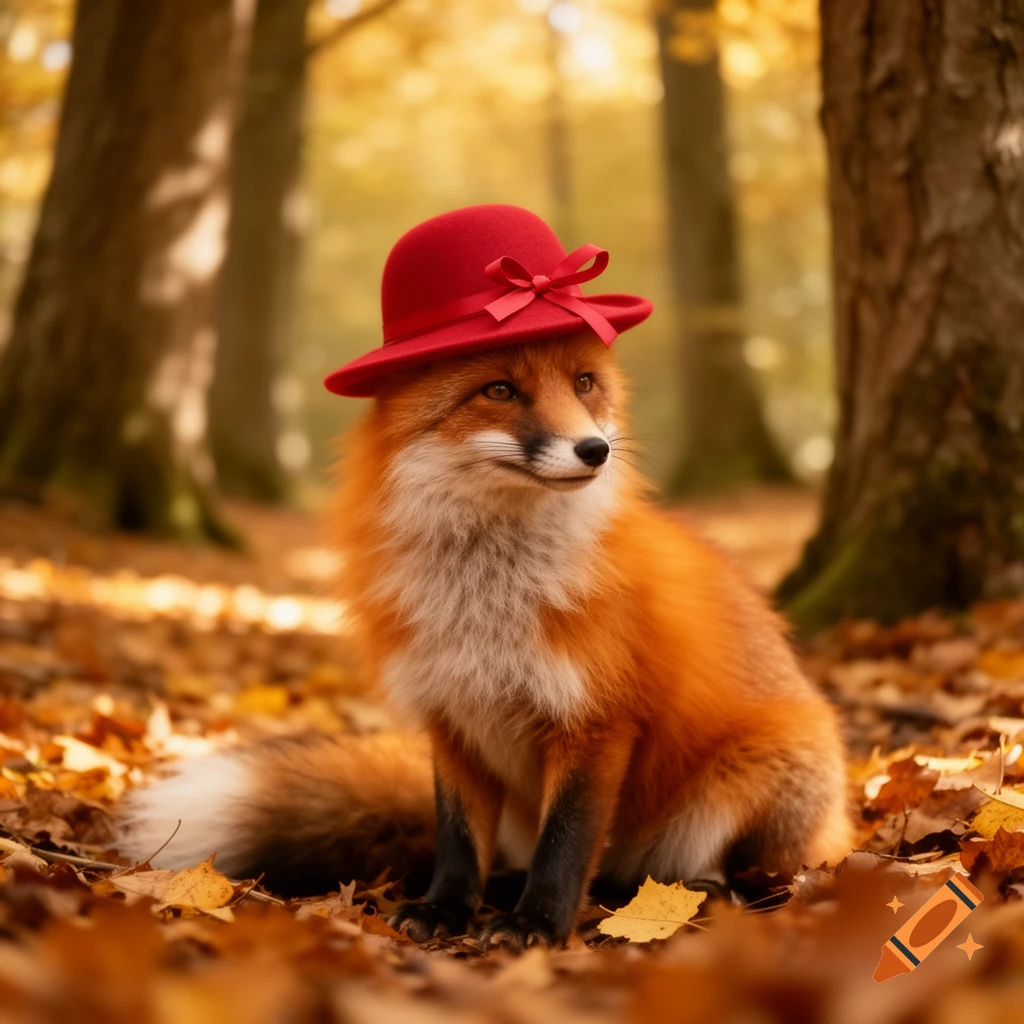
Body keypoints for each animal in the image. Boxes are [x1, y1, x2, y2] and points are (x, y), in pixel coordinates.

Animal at [119, 334, 851, 950]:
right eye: (500, 389)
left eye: (584, 383)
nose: (595, 449)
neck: (485, 605)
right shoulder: (453, 717)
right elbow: (457, 839)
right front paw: (446, 909)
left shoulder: (595, 723)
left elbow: (566, 843)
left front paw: (538, 924)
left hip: (762, 770)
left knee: (739, 874)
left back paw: (698, 891)